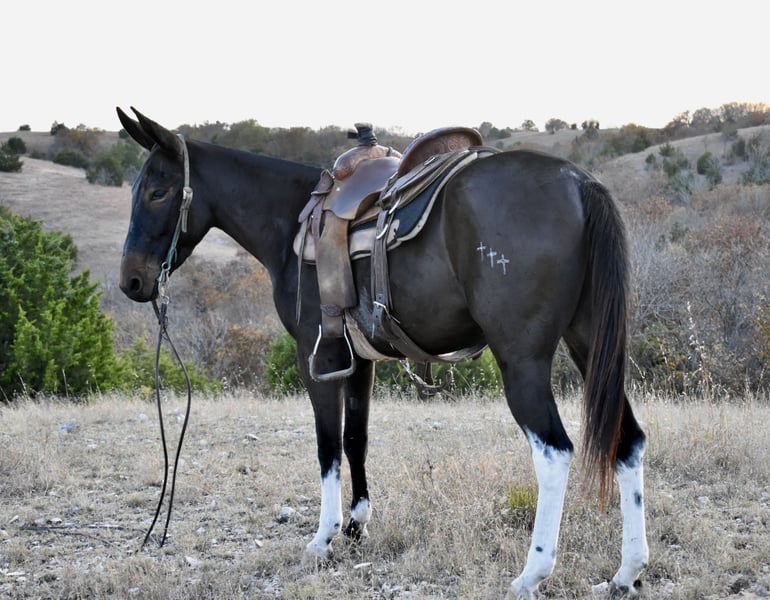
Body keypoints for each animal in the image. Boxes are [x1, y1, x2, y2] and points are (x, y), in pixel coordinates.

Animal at [116, 106, 648, 598]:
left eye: (158, 191)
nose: (131, 282)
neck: (291, 222)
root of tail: (579, 182)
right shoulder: (358, 362)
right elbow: (356, 440)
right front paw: (357, 525)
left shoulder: (318, 360)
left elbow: (328, 447)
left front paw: (324, 537)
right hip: (590, 348)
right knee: (628, 440)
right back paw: (627, 572)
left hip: (522, 361)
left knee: (554, 452)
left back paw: (532, 572)